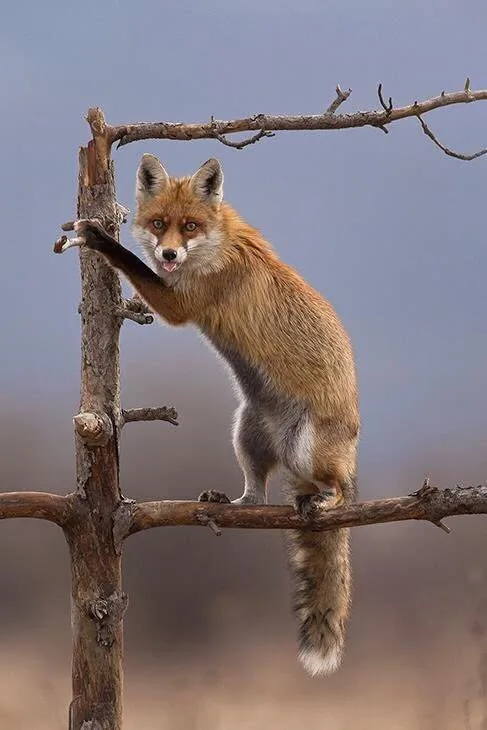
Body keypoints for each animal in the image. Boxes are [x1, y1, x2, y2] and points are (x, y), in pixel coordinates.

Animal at [59, 154, 360, 677]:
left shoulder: (180, 305)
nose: (169, 254)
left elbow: (131, 263)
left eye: (190, 227)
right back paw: (228, 502)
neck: (217, 246)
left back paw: (326, 500)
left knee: (339, 489)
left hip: (311, 452)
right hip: (245, 435)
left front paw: (100, 239)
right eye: (160, 223)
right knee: (257, 498)